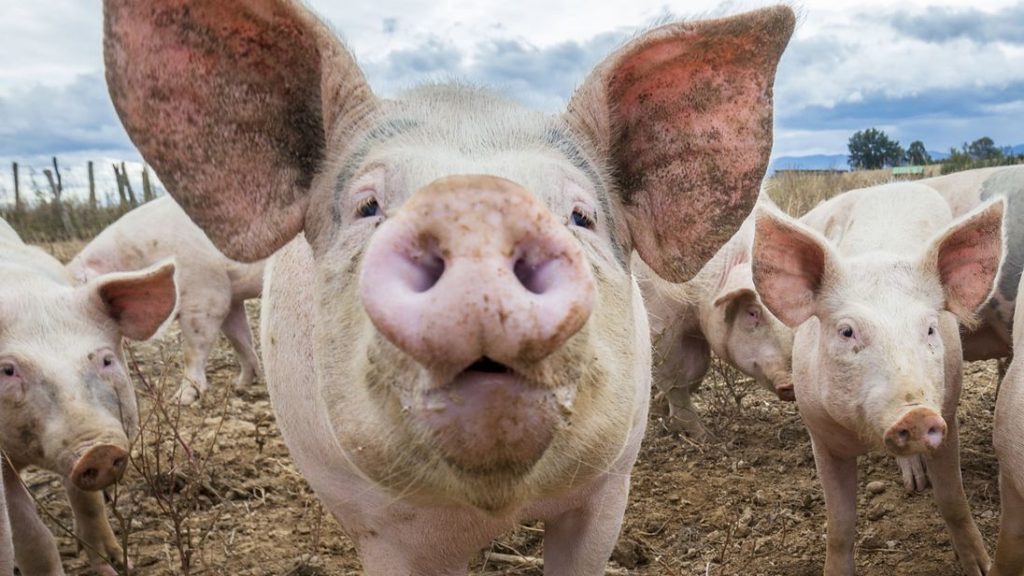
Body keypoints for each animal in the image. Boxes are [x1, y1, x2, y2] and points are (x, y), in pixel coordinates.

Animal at [0, 219, 177, 575]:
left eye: (106, 360)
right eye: (8, 370)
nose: (98, 450)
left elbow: (89, 505)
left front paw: (116, 564)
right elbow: (31, 536)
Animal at [67, 196, 265, 405]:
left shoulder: (206, 292)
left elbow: (193, 349)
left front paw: (180, 399)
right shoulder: (232, 297)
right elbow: (240, 339)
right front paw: (241, 384)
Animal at [636, 211, 794, 439]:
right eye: (752, 312)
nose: (791, 382)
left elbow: (698, 369)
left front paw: (660, 407)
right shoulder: (661, 325)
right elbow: (675, 376)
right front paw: (703, 436)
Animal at [753, 183, 1001, 575]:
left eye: (930, 329)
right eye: (847, 332)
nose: (916, 414)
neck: (865, 436)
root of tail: (890, 184)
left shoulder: (947, 412)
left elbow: (952, 499)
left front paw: (982, 567)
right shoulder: (820, 436)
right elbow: (839, 524)